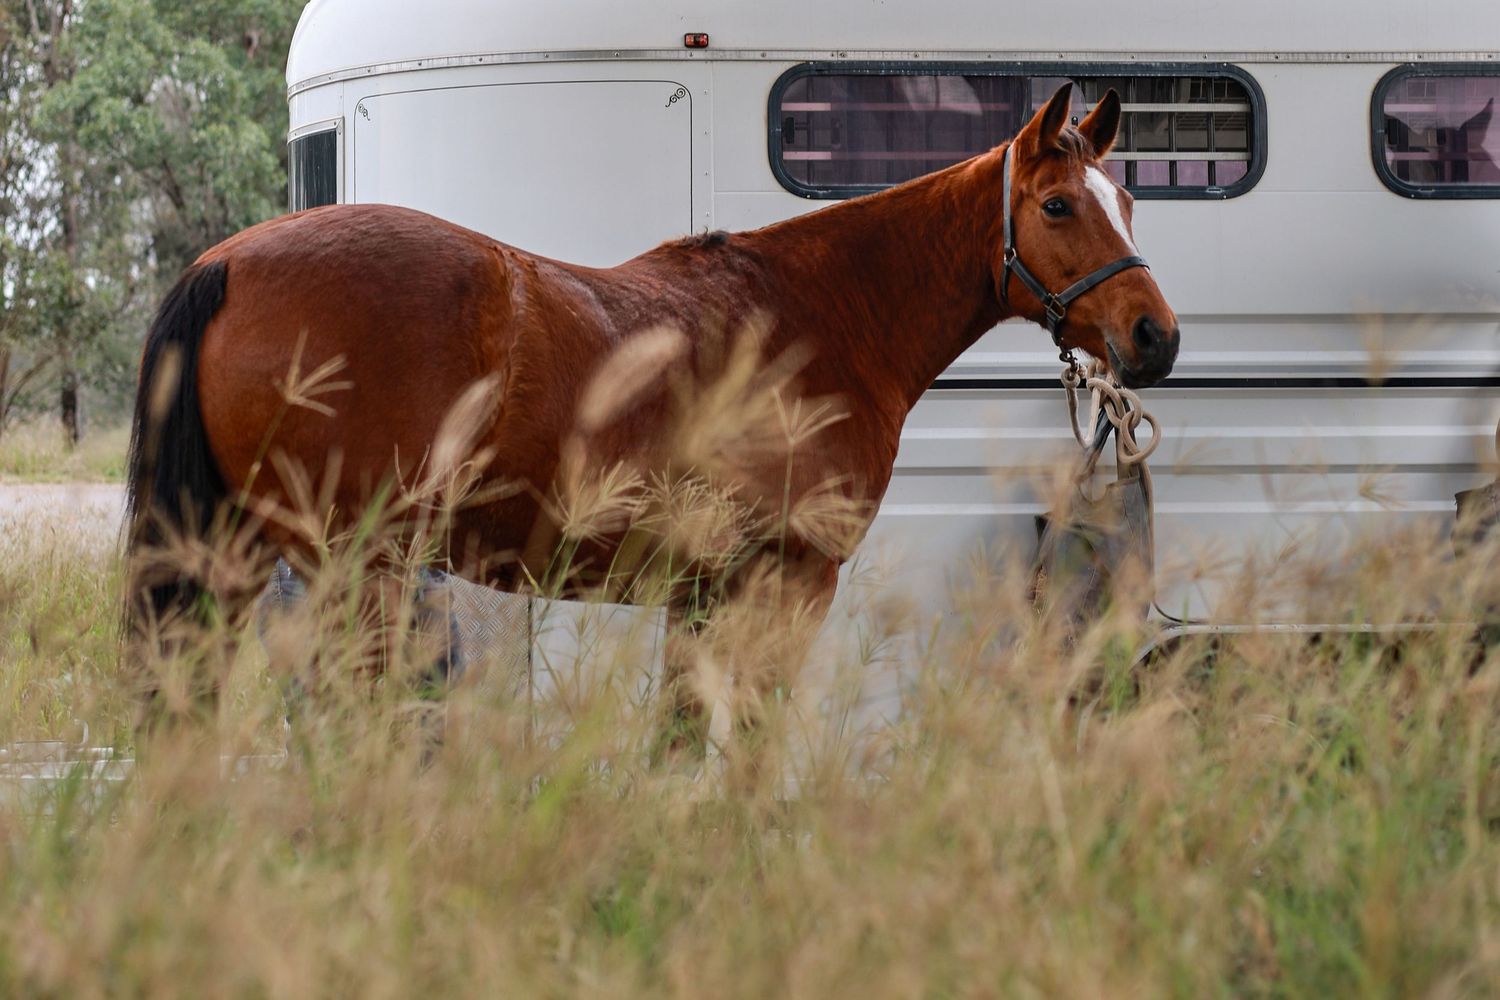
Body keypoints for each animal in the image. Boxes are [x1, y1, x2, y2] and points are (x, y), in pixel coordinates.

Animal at [124, 83, 1179, 740]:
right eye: (1056, 206)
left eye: (1130, 200)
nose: (1155, 337)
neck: (821, 313)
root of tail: (229, 261)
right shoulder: (788, 583)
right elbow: (746, 741)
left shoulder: (699, 595)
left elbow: (675, 742)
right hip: (351, 567)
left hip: (237, 559)